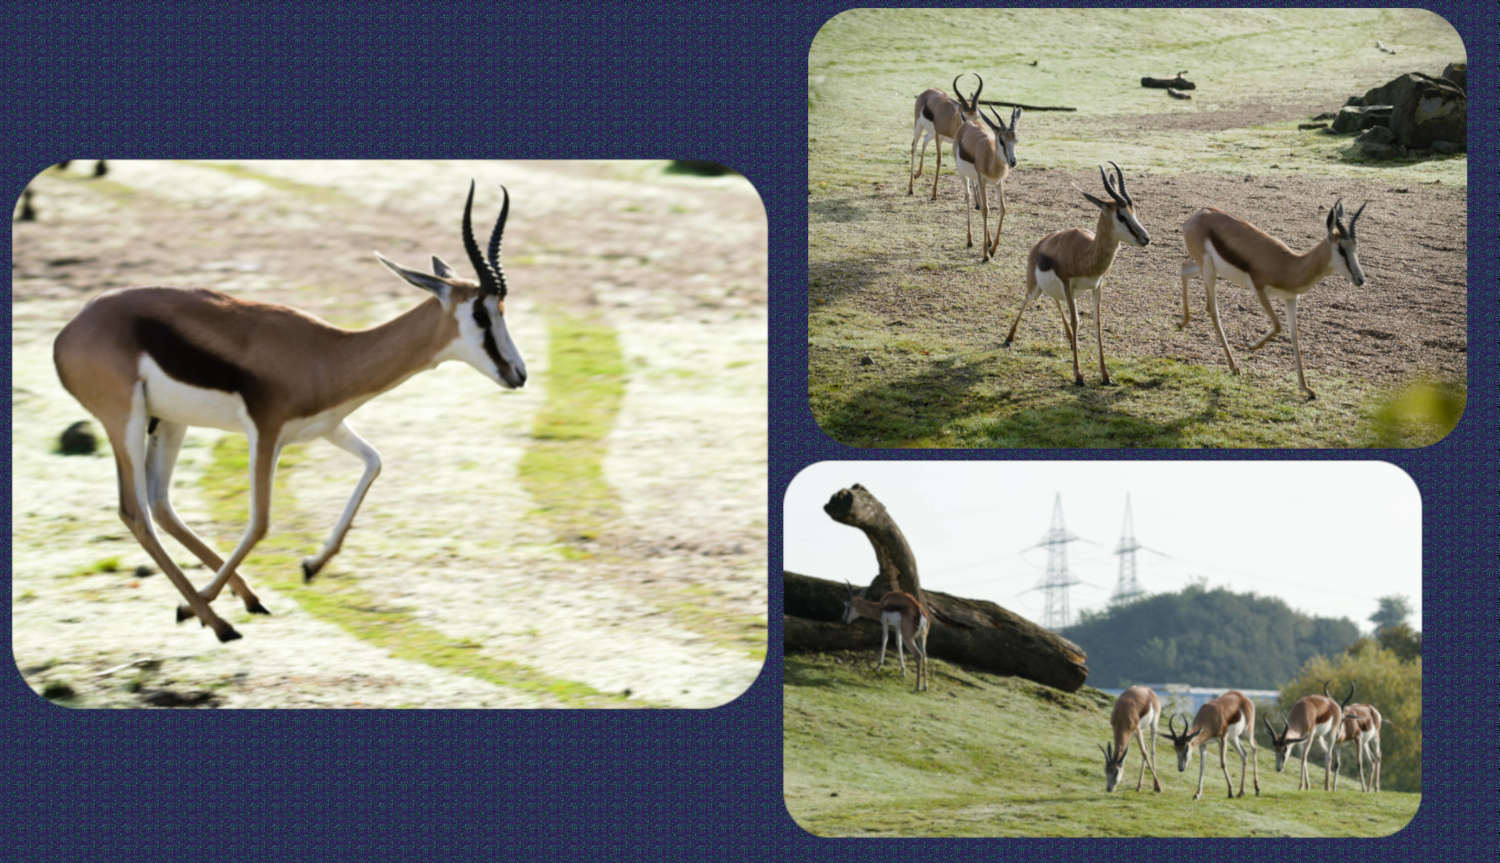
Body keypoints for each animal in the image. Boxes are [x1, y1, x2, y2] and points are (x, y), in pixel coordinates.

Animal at [52, 181, 526, 642]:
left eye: (502, 309)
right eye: (481, 312)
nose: (518, 373)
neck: (327, 353)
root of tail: (67, 333)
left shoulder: (326, 427)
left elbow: (374, 462)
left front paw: (312, 566)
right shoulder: (266, 433)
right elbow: (261, 522)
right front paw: (197, 607)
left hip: (170, 423)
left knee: (160, 505)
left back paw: (236, 602)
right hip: (125, 422)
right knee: (135, 512)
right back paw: (217, 622)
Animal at [952, 101, 1020, 260]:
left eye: (1015, 139)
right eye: (1001, 140)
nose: (1013, 161)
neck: (990, 159)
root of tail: (967, 123)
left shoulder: (998, 183)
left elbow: (1002, 209)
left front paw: (993, 249)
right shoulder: (982, 180)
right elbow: (985, 210)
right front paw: (985, 254)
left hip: (977, 181)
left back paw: (988, 241)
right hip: (964, 175)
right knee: (968, 197)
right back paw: (970, 240)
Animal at [1002, 163, 1150, 385]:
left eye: (1134, 212)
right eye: (1121, 216)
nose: (1145, 238)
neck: (1085, 254)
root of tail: (1039, 244)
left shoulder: (1097, 286)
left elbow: (1097, 323)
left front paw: (1105, 375)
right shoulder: (1067, 283)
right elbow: (1076, 321)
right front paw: (1079, 375)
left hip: (1061, 292)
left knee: (1055, 300)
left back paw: (1072, 342)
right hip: (1036, 289)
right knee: (1027, 300)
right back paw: (1008, 338)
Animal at [1178, 198, 1368, 400]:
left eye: (1355, 247)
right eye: (1341, 249)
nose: (1360, 279)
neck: (1289, 265)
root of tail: (1197, 214)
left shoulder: (1291, 299)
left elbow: (1294, 336)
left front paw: (1306, 389)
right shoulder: (1259, 289)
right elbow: (1278, 326)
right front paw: (1251, 346)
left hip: (1203, 268)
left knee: (1184, 269)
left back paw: (1182, 323)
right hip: (1209, 270)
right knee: (1212, 309)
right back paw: (1234, 366)